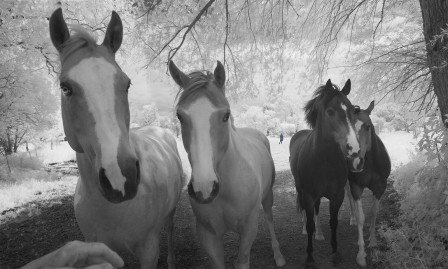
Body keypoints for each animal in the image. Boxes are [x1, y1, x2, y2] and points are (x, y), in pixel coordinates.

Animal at [49, 8, 182, 266]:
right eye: (65, 87)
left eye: (127, 83)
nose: (120, 177)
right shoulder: (100, 248)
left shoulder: (149, 251)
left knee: (171, 229)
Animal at [168, 60, 284, 268]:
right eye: (180, 116)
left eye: (226, 115)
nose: (204, 189)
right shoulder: (208, 235)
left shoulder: (249, 227)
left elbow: (242, 261)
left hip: (268, 196)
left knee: (270, 218)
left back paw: (278, 254)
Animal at [288, 78, 362, 264]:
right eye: (330, 111)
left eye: (353, 110)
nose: (354, 149)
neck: (324, 161)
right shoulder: (308, 195)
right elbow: (309, 223)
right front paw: (309, 256)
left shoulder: (337, 195)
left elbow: (333, 222)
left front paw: (335, 251)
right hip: (301, 190)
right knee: (306, 212)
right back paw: (308, 231)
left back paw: (320, 233)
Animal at [344, 100, 390, 266]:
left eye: (368, 126)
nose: (356, 161)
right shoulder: (356, 187)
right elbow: (361, 217)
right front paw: (361, 254)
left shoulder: (380, 188)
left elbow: (374, 213)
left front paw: (373, 242)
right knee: (349, 197)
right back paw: (351, 217)